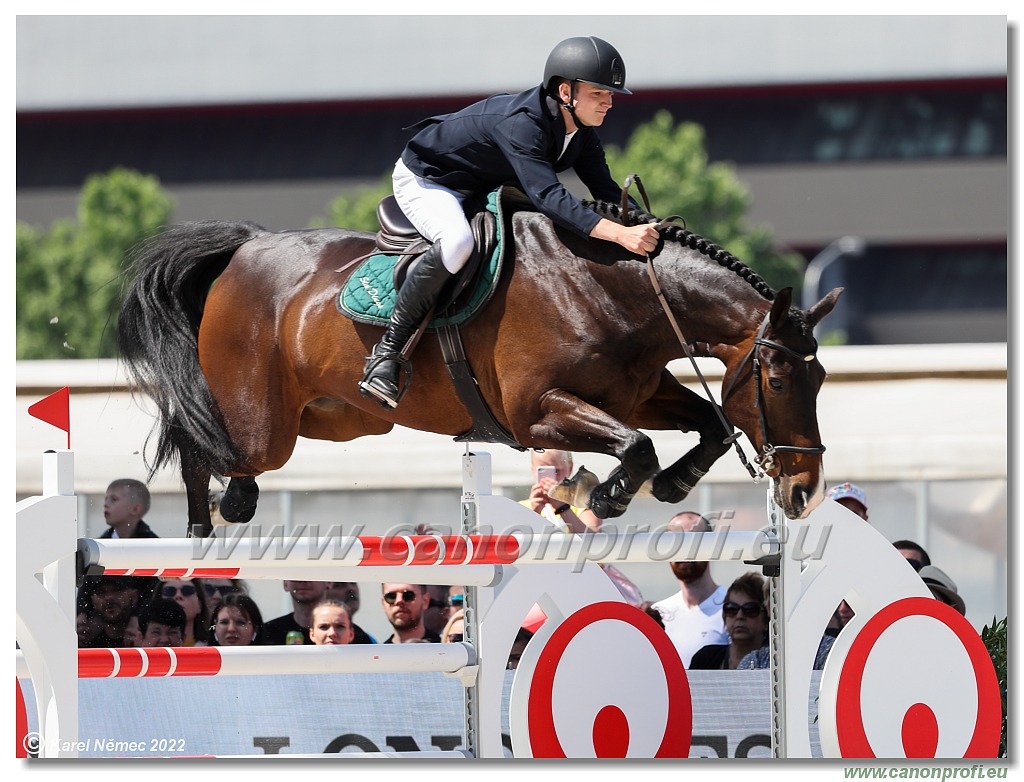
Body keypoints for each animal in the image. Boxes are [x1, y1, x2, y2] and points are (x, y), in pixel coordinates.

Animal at [117, 198, 839, 536]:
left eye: (821, 380)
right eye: (778, 381)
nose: (805, 491)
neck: (612, 291)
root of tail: (245, 249)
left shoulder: (637, 393)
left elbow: (708, 424)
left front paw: (671, 485)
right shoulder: (537, 413)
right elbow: (635, 445)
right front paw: (606, 495)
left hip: (336, 419)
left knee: (229, 455)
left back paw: (234, 502)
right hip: (263, 423)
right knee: (198, 444)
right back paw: (201, 530)